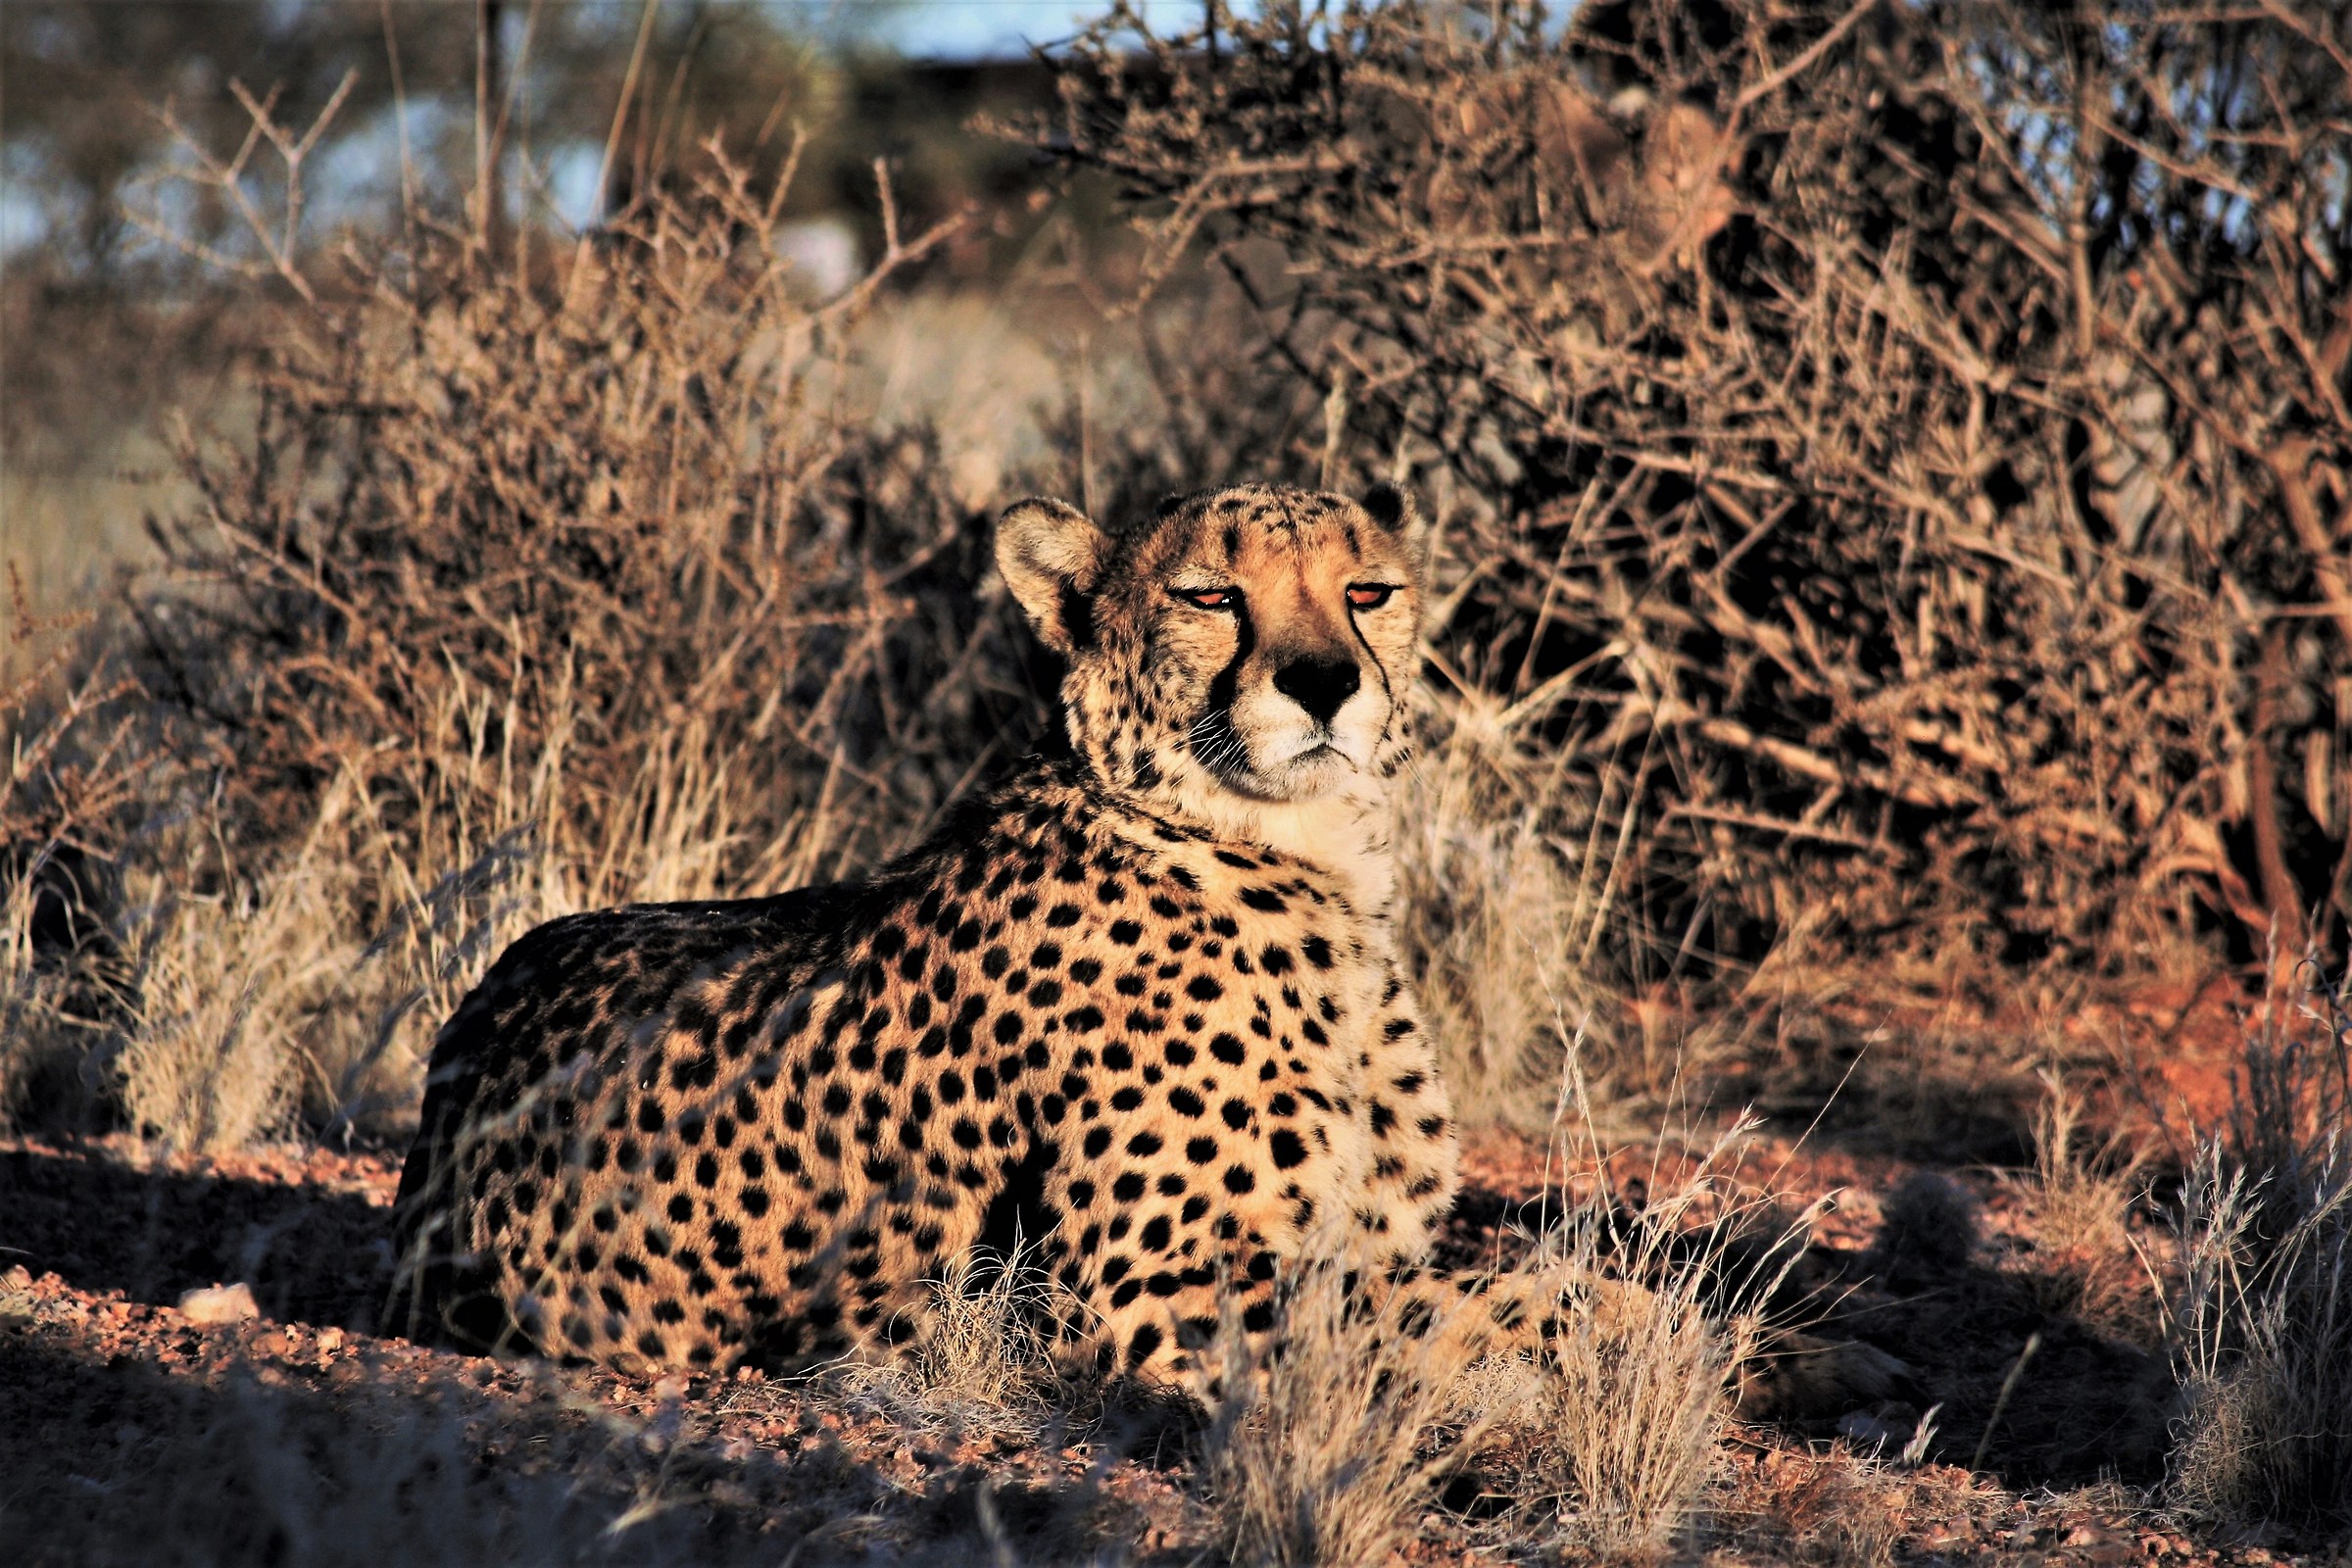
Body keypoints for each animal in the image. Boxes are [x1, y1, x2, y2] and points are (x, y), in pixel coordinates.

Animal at [388, 480, 1906, 1414]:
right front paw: (1692, 1343)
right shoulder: (1150, 1297)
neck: (1304, 858)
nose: (1324, 683)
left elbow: (1511, 1274)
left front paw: (1801, 1342)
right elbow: (1505, 1296)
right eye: (1209, 597)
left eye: (1366, 591)